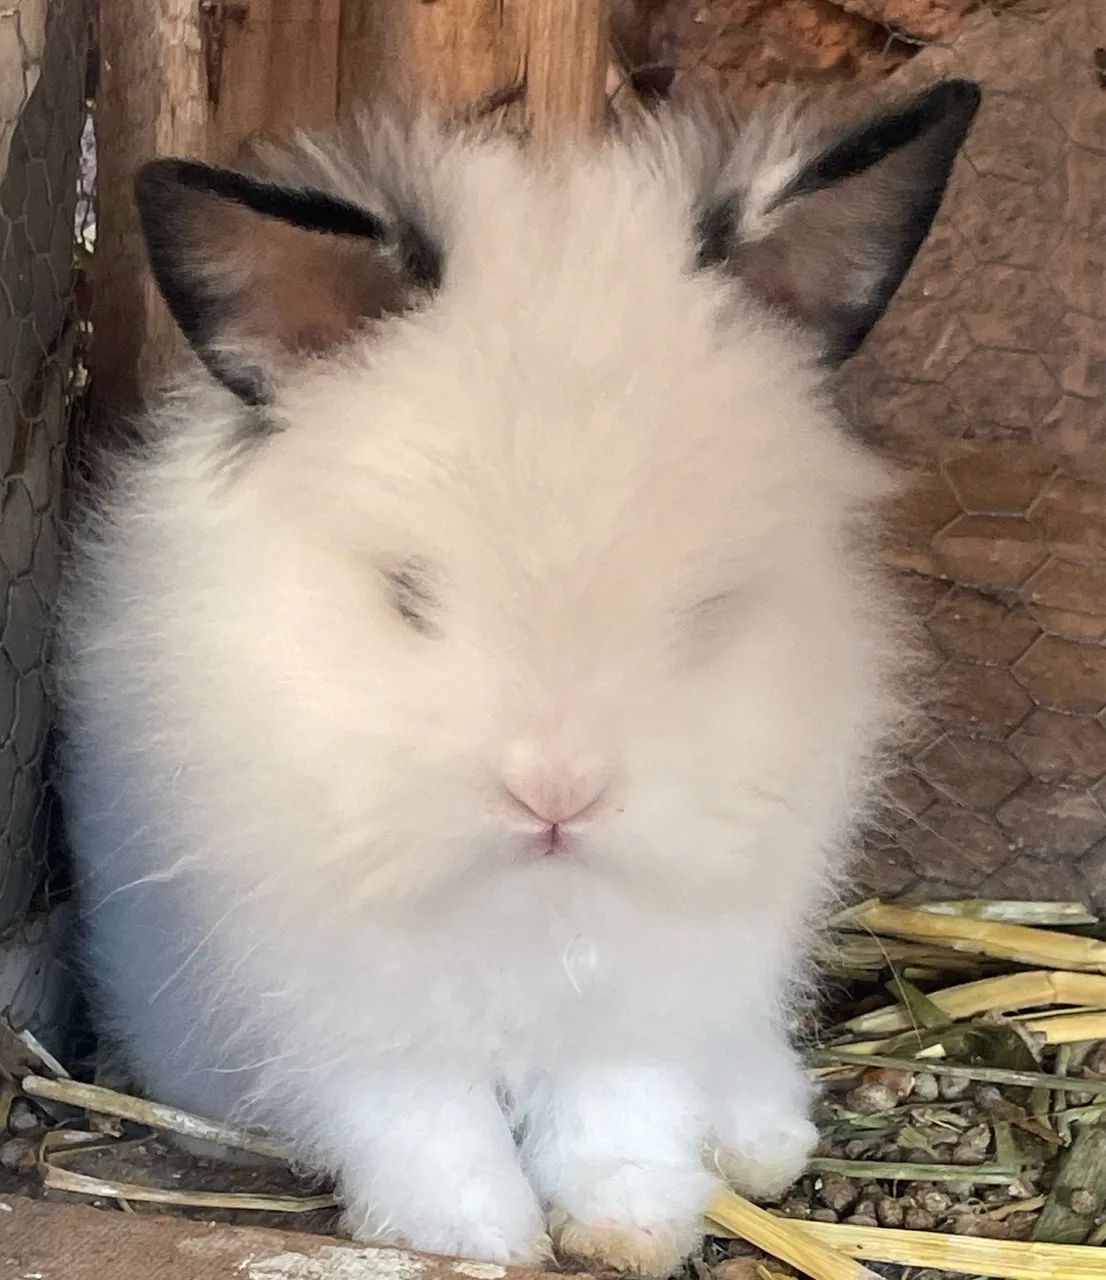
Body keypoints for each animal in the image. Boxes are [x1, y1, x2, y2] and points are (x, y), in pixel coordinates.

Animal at [57, 81, 979, 1275]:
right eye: (406, 595)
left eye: (709, 605)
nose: (557, 797)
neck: (527, 899)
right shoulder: (345, 995)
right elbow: (423, 1113)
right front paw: (474, 1234)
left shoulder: (650, 975)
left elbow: (621, 1104)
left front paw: (629, 1227)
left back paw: (759, 1138)